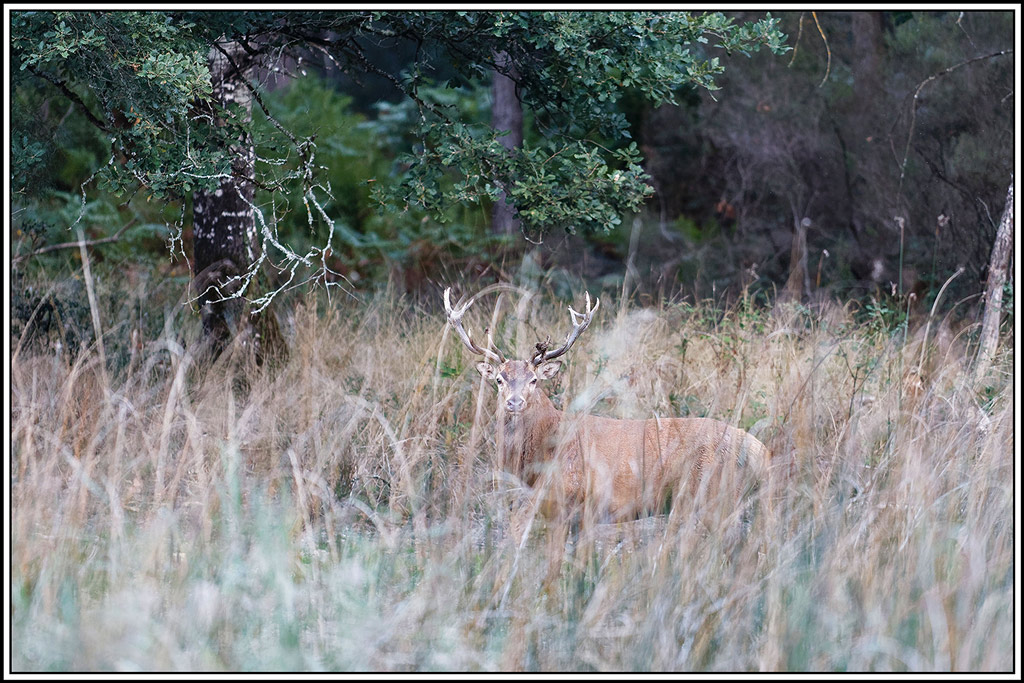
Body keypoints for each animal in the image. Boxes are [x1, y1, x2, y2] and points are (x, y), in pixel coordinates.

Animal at [442, 286, 772, 532]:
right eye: (499, 379)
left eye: (534, 380)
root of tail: (761, 452)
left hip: (711, 495)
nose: (514, 402)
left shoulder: (571, 498)